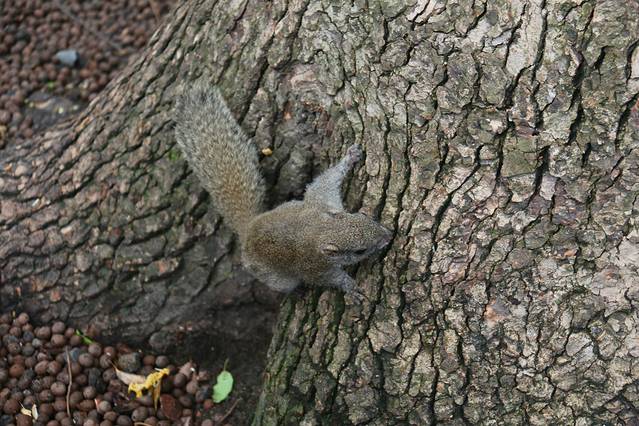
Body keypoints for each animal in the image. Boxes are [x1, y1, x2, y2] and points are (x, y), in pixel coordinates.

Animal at [174, 85, 392, 303]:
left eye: (362, 215)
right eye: (360, 251)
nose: (388, 236)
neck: (321, 229)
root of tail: (247, 230)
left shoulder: (321, 201)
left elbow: (326, 181)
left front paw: (351, 158)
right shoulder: (314, 267)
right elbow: (329, 278)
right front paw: (350, 288)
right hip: (273, 276)